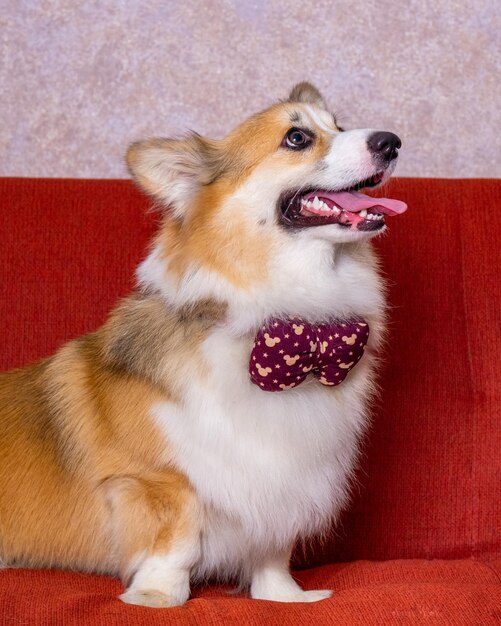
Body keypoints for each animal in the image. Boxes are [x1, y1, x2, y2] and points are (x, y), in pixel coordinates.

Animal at [0, 81, 406, 604]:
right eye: (296, 137)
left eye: (339, 125)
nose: (391, 141)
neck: (288, 327)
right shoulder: (158, 480)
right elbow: (179, 538)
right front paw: (158, 597)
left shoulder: (286, 483)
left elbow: (273, 547)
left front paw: (285, 597)